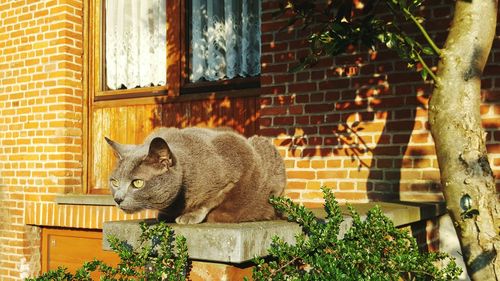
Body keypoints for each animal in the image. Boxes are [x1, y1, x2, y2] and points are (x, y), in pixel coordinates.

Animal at [105, 127, 286, 223]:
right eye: (114, 182)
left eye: (137, 183)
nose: (117, 199)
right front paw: (165, 215)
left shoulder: (239, 163)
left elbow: (211, 200)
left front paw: (189, 216)